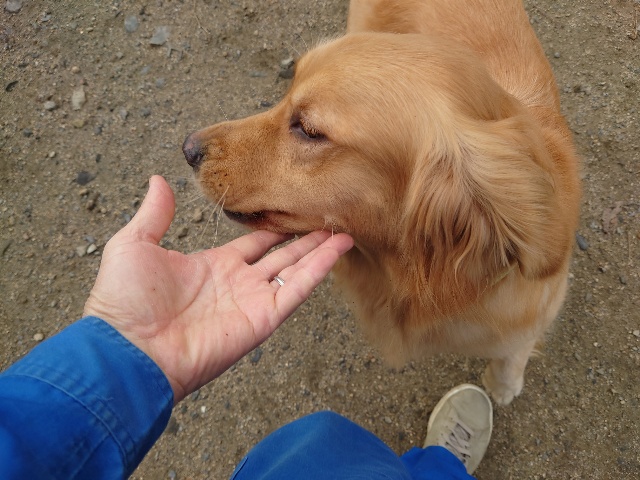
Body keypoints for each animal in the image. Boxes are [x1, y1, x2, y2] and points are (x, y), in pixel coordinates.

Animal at [182, 0, 581, 405]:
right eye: (286, 93)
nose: (188, 149)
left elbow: (514, 350)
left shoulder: (538, 303)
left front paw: (503, 385)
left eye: (309, 131)